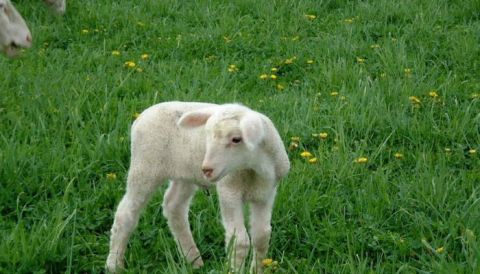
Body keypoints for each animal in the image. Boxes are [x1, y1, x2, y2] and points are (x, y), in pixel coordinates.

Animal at [107, 101, 290, 272]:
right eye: (207, 134)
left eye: (236, 139)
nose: (207, 169)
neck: (252, 169)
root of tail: (141, 117)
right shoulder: (229, 191)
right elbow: (239, 240)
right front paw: (235, 270)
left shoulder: (266, 193)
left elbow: (262, 236)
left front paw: (257, 270)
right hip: (145, 166)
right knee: (125, 214)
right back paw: (114, 264)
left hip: (185, 174)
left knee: (173, 206)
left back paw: (193, 260)